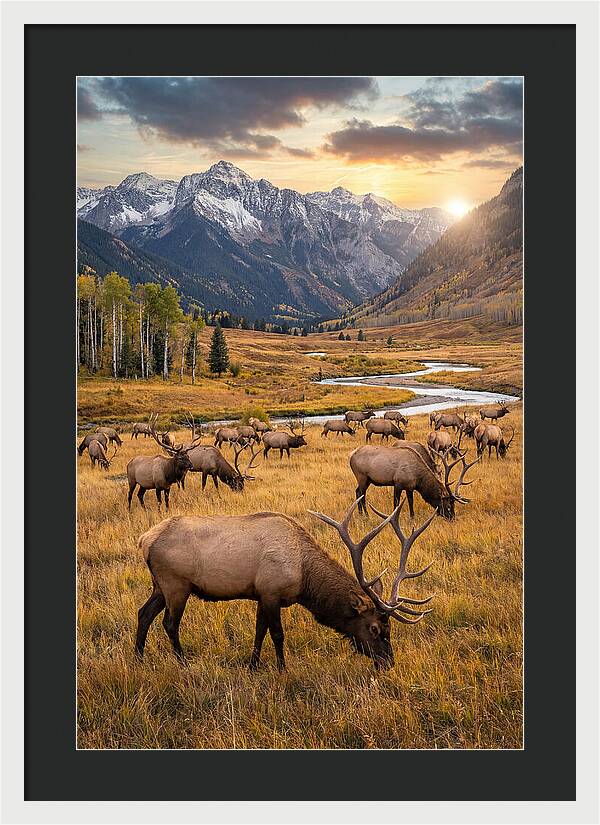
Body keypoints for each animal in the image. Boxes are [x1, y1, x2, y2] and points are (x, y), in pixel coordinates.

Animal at [135, 496, 436, 671]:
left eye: (389, 629)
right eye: (374, 628)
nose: (388, 662)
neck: (304, 578)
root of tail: (144, 540)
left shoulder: (260, 594)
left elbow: (259, 631)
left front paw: (253, 666)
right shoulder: (271, 591)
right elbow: (277, 634)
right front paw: (282, 668)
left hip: (159, 586)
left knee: (143, 613)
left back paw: (138, 658)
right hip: (176, 584)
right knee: (169, 623)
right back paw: (182, 661)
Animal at [349, 444, 478, 520]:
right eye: (449, 506)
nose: (452, 518)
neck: (419, 479)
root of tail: (351, 456)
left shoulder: (409, 487)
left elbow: (411, 502)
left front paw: (412, 517)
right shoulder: (398, 483)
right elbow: (396, 503)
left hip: (367, 480)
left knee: (357, 492)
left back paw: (361, 514)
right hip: (362, 477)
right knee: (361, 494)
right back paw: (365, 515)